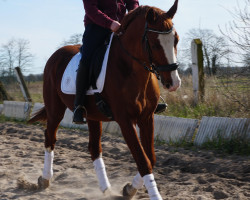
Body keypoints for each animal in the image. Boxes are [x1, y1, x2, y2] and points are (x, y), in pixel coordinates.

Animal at [29, 1, 181, 198]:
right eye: (155, 43)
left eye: (176, 40)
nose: (174, 83)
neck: (131, 70)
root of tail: (56, 54)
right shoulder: (125, 121)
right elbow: (143, 160)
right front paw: (148, 194)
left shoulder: (147, 118)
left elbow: (151, 159)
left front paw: (129, 189)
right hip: (55, 109)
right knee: (50, 138)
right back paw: (45, 179)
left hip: (93, 116)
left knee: (94, 148)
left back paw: (105, 188)